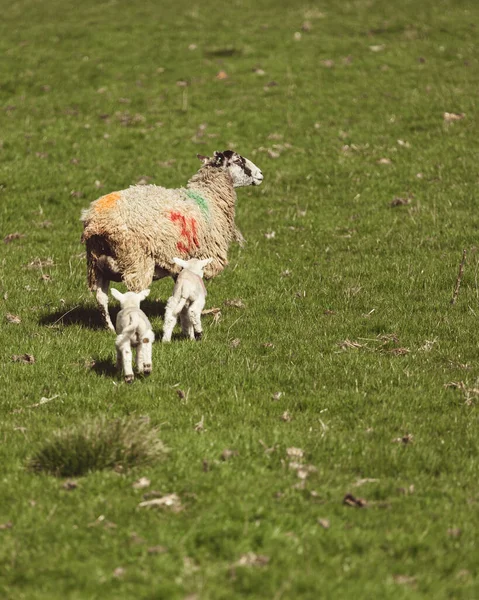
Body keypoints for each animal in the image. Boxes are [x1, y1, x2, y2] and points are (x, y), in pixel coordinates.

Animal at [80, 148, 264, 330]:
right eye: (238, 160)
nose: (261, 174)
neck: (209, 198)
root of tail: (98, 221)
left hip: (96, 264)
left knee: (101, 298)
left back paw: (109, 328)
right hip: (136, 261)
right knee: (132, 297)